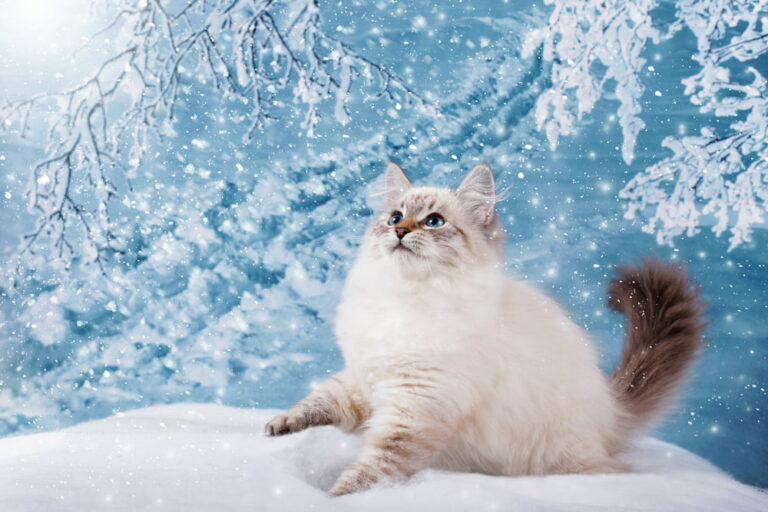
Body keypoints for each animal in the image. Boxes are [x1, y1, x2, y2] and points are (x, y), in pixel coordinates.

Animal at [266, 161, 708, 496]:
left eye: (434, 221)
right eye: (394, 218)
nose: (400, 231)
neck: (406, 296)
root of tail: (610, 410)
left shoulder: (415, 408)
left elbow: (374, 468)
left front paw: (334, 497)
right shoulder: (366, 379)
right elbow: (322, 400)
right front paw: (282, 424)